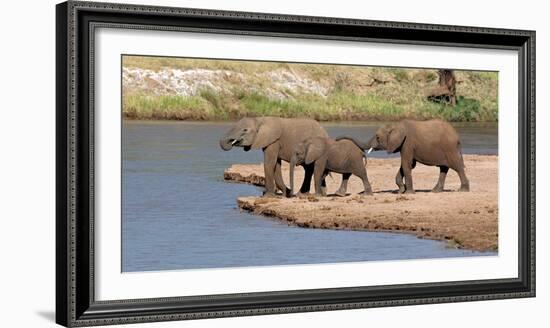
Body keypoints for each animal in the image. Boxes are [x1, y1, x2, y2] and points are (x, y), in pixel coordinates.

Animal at [338, 119, 472, 193]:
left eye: (378, 138)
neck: (396, 126)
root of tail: (456, 136)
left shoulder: (408, 142)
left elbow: (406, 163)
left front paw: (408, 192)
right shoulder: (405, 144)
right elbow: (409, 164)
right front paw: (401, 190)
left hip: (450, 148)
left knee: (457, 166)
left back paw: (463, 190)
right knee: (443, 168)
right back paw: (435, 191)